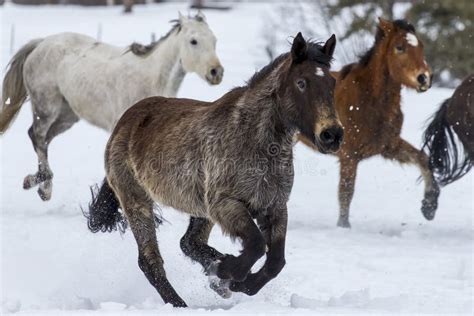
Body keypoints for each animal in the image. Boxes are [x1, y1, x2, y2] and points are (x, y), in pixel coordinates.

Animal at [0, 12, 224, 201]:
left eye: (214, 40)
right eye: (193, 41)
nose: (216, 72)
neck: (152, 79)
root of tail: (41, 43)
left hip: (67, 116)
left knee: (43, 139)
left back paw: (37, 184)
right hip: (46, 108)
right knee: (37, 136)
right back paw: (42, 187)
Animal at [86, 33, 344, 308]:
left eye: (332, 83)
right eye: (301, 83)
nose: (332, 135)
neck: (253, 139)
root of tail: (124, 122)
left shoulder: (274, 206)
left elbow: (276, 261)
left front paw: (234, 281)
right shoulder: (226, 204)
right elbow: (256, 245)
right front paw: (225, 272)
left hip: (200, 210)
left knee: (189, 242)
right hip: (137, 201)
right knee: (150, 261)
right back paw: (181, 302)